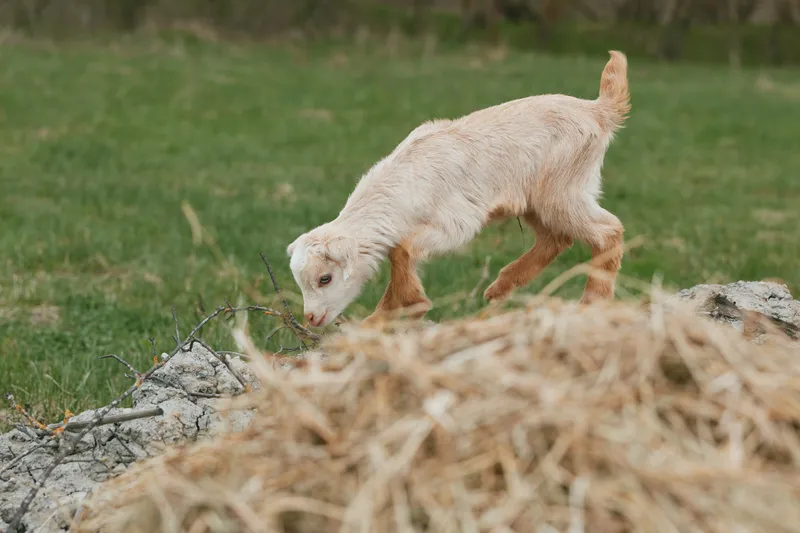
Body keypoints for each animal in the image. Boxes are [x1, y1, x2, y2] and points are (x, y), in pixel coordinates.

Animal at [287, 51, 630, 328]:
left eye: (325, 278)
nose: (311, 318)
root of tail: (598, 110)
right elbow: (398, 255)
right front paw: (385, 316)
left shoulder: (455, 223)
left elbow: (401, 250)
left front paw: (408, 307)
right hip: (537, 199)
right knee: (556, 238)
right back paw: (500, 288)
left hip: (562, 190)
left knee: (607, 230)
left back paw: (593, 302)